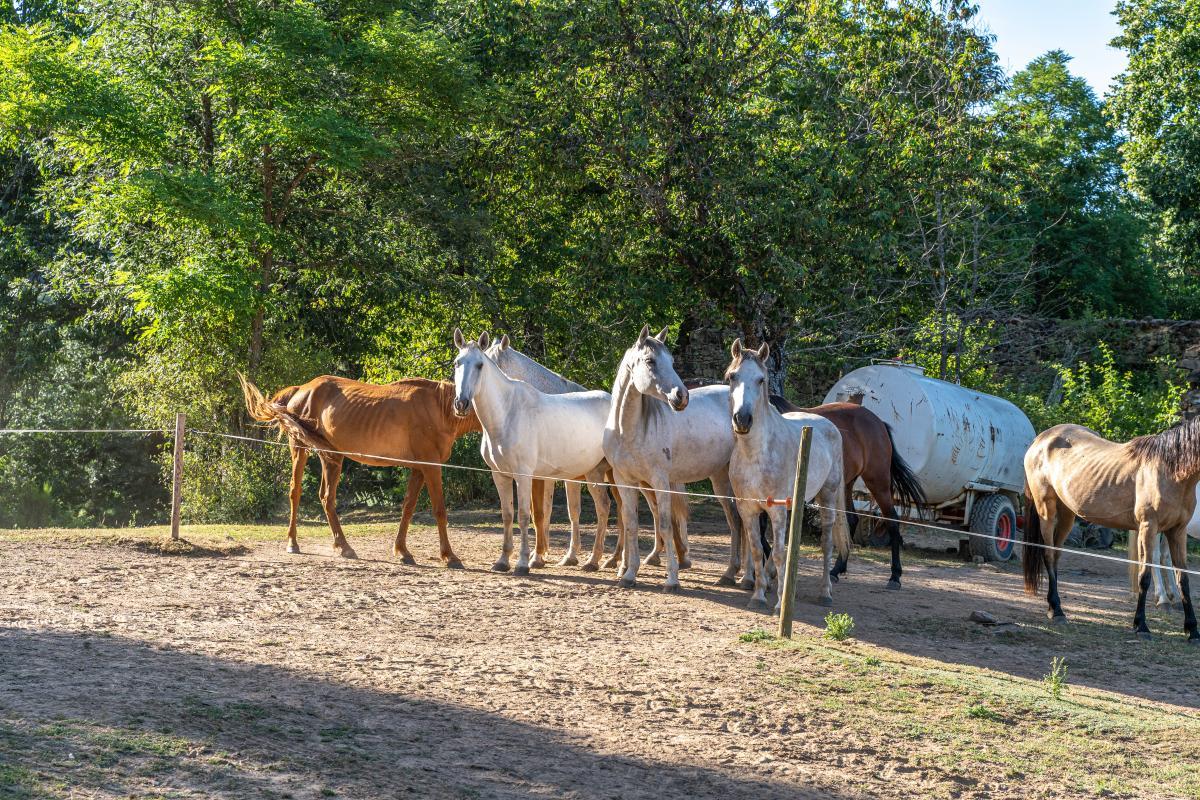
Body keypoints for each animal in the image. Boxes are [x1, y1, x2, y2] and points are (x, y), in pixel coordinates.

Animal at [243, 374, 506, 563]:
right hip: (300, 448)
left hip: (331, 458)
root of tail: (301, 389)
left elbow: (408, 507)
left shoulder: (419, 469)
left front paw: (402, 551)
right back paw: (294, 543)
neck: (441, 409)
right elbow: (440, 510)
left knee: (326, 498)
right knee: (296, 492)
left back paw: (342, 546)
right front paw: (449, 556)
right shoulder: (431, 468)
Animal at [453, 331, 614, 575]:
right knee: (604, 508)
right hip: (594, 472)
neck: (507, 413)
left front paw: (523, 563)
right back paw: (594, 561)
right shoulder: (500, 475)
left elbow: (525, 515)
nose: (461, 404)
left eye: (480, 365)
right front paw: (503, 561)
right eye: (457, 363)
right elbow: (508, 515)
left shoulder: (525, 475)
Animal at [482, 335, 691, 573]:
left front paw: (538, 556)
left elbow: (541, 512)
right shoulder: (564, 478)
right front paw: (563, 555)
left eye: (492, 366)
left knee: (658, 510)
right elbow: (566, 512)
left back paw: (664, 557)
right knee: (633, 511)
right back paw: (624, 558)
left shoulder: (541, 477)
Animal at [604, 321, 744, 592]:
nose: (682, 396)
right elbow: (631, 524)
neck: (629, 430)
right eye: (650, 361)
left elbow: (666, 525)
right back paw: (731, 574)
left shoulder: (660, 482)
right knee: (736, 521)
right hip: (720, 479)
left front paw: (672, 579)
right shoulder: (625, 481)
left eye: (671, 360)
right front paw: (629, 574)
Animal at [720, 340, 854, 609]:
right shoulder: (748, 509)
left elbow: (781, 553)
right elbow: (757, 549)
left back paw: (825, 592)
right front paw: (758, 596)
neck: (756, 454)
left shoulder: (776, 509)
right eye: (732, 376)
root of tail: (829, 425)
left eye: (761, 379)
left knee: (826, 543)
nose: (742, 419)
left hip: (827, 498)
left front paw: (780, 603)